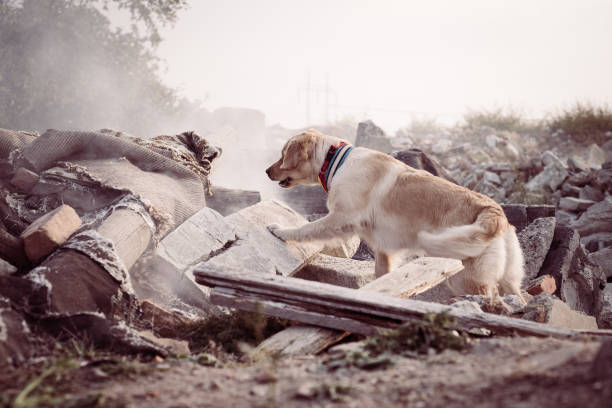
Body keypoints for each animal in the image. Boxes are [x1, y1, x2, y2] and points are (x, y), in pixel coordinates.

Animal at [266, 129, 524, 302]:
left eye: (282, 154)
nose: (267, 171)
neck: (336, 162)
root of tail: (494, 211)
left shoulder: (341, 219)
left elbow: (305, 229)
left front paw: (281, 231)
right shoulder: (384, 250)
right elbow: (382, 277)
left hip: (466, 277)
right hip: (508, 279)